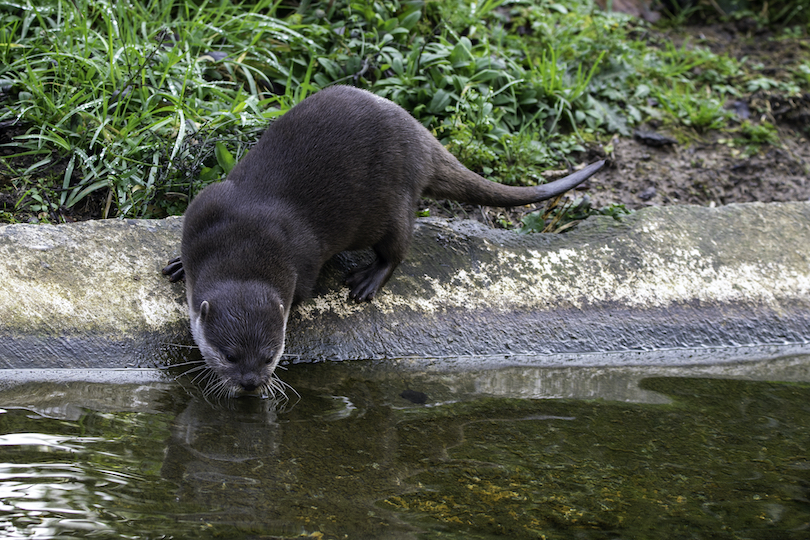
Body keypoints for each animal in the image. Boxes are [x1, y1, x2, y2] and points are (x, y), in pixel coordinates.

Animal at [163, 84, 600, 396]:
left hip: (393, 203)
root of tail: (420, 136)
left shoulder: (303, 261)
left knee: (399, 245)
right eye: (230, 355)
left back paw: (367, 280)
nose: (252, 383)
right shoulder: (204, 209)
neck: (243, 241)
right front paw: (179, 264)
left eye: (271, 356)